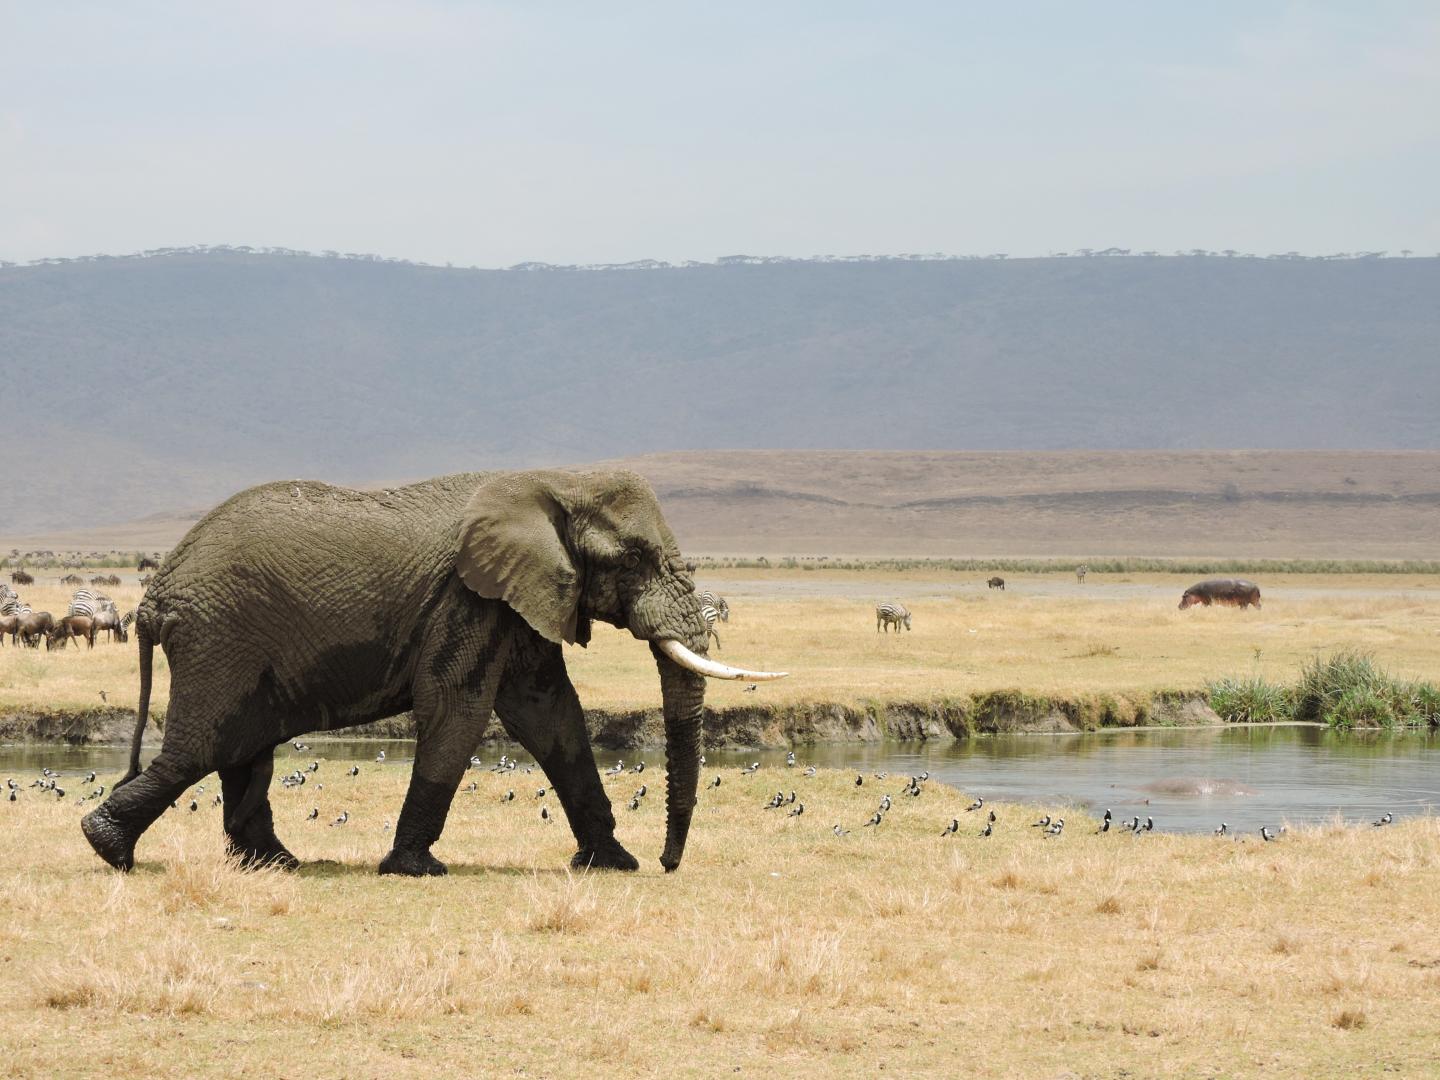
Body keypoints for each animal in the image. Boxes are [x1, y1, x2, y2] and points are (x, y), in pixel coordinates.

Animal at [81, 470, 785, 877]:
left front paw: (611, 864)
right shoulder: (467, 596)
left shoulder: (514, 599)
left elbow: (551, 713)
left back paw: (277, 864)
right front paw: (415, 869)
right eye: (633, 559)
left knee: (243, 750)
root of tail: (157, 594)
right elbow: (458, 708)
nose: (668, 865)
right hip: (218, 637)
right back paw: (108, 846)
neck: (552, 482)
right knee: (206, 746)